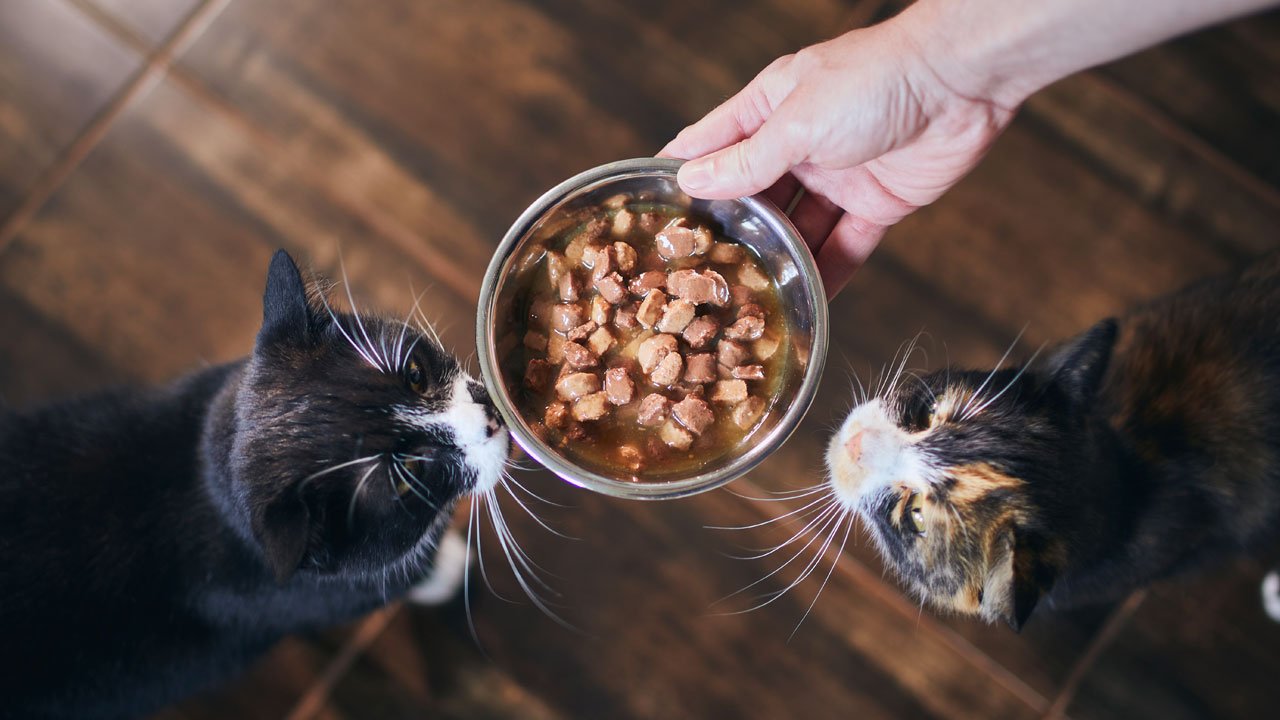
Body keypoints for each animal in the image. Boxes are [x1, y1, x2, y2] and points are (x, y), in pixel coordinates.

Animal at [0, 249, 509, 712]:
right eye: (408, 479)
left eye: (416, 374)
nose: (491, 417)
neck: (204, 482)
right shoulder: (333, 592)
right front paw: (449, 568)